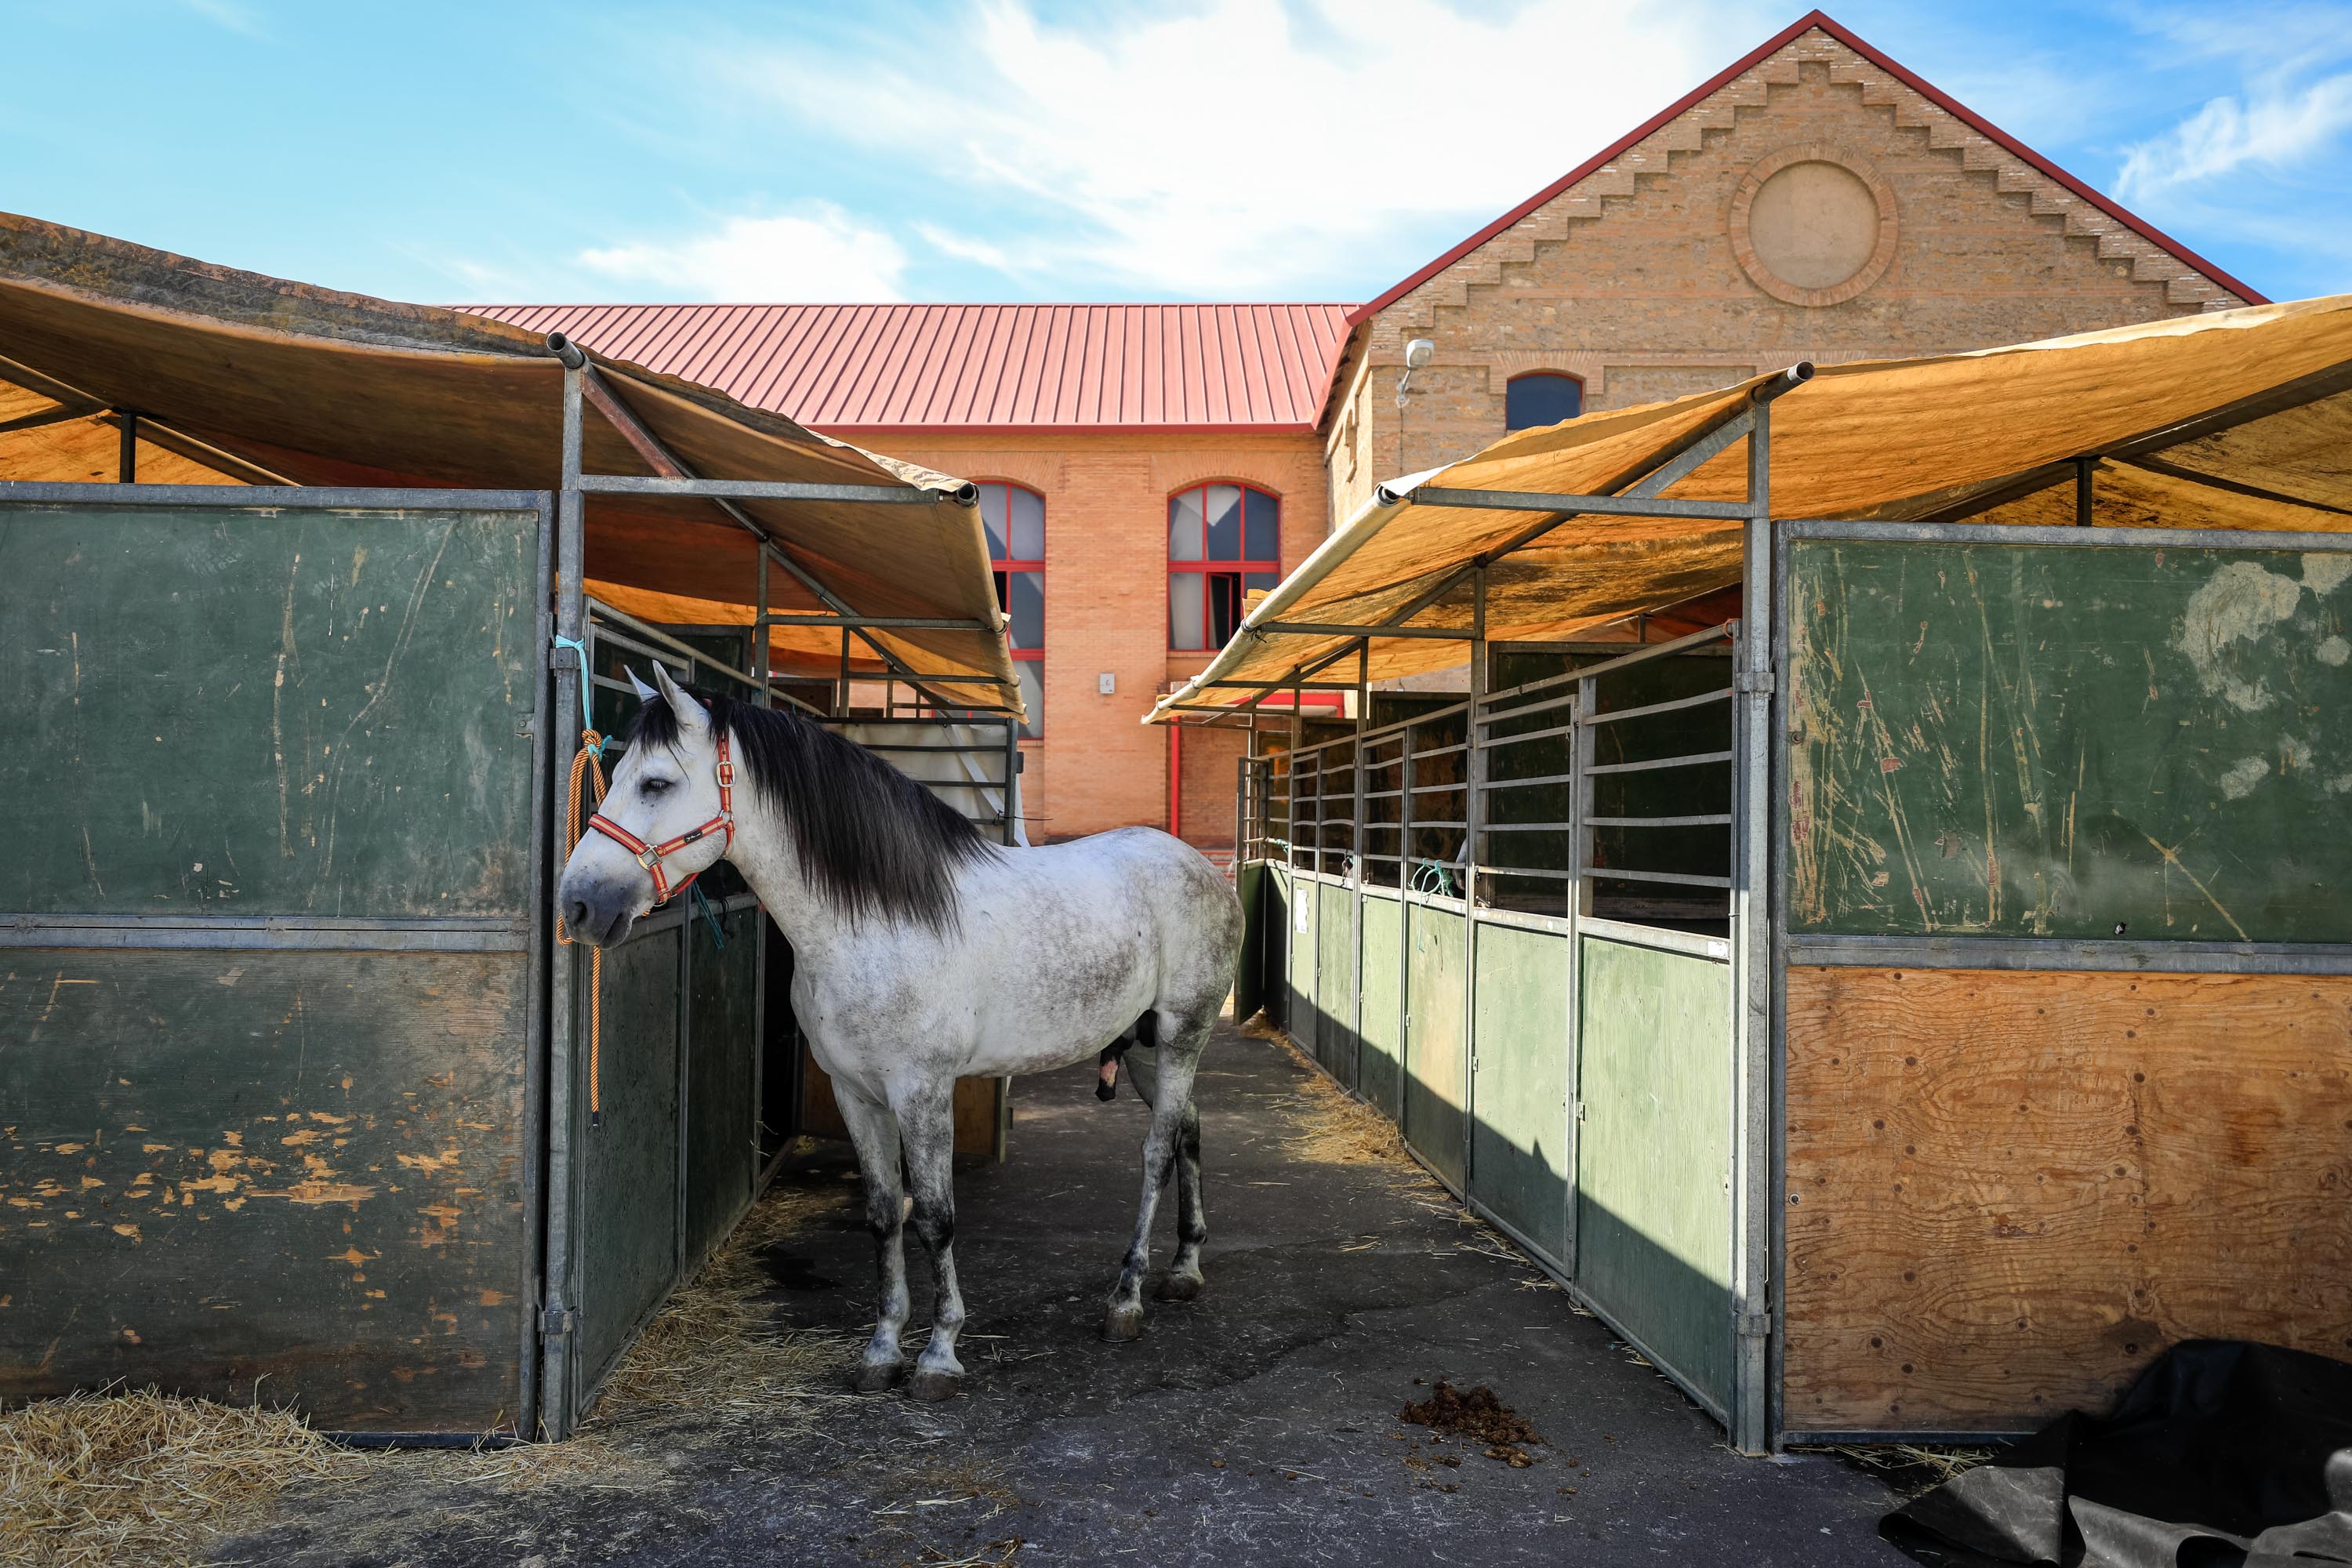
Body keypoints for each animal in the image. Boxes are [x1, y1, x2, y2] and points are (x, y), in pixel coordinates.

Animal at [560, 667, 1251, 1401]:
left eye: (655, 783)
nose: (578, 904)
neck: (874, 924)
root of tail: (1205, 870)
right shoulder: (855, 1093)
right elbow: (885, 1213)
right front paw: (884, 1347)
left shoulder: (921, 1092)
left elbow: (935, 1219)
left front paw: (940, 1354)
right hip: (1148, 1048)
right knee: (1188, 1132)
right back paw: (1184, 1269)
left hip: (1182, 1037)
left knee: (1155, 1153)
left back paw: (1127, 1298)